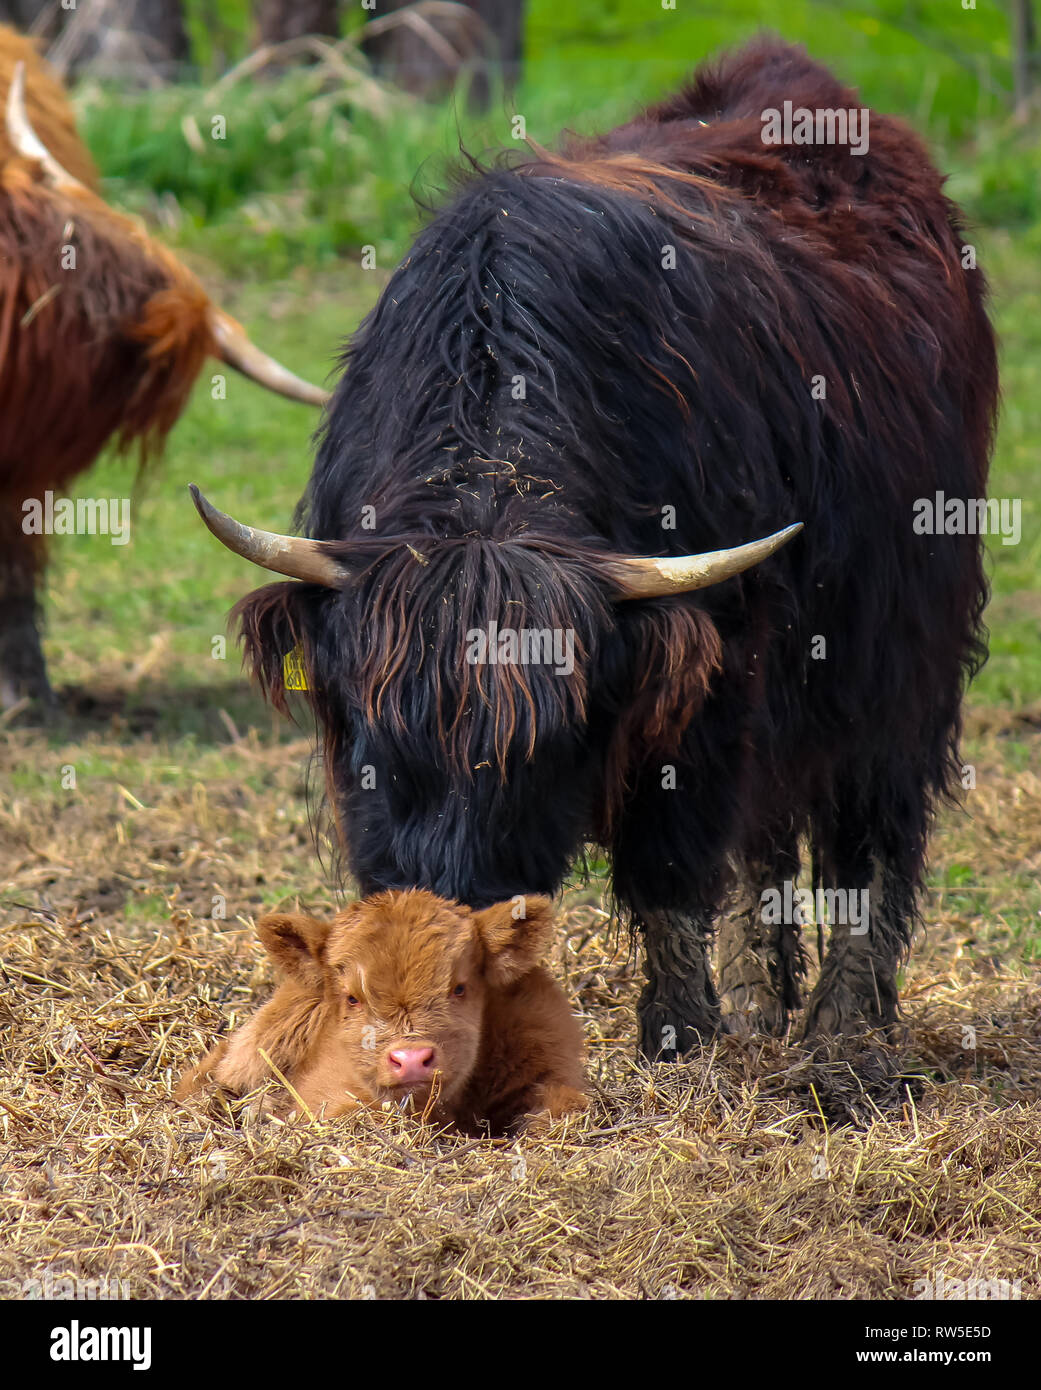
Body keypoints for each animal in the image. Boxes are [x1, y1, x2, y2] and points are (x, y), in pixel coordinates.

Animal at [190, 40, 995, 1061]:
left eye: (546, 747)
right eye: (382, 742)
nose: (450, 901)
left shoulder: (711, 673)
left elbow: (668, 863)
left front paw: (679, 1030)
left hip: (898, 641)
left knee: (869, 821)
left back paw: (842, 1023)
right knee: (768, 831)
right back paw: (762, 998)